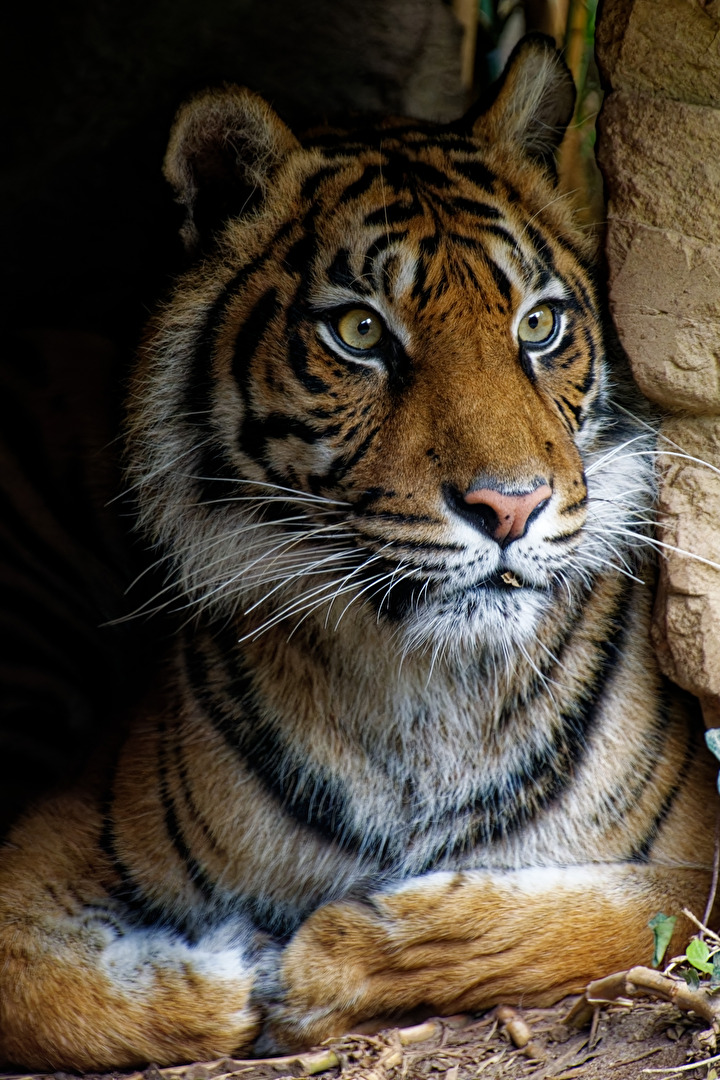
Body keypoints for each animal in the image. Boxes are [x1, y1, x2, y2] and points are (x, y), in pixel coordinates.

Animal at [0, 32, 717, 1072]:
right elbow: (37, 990)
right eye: (360, 331)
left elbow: (579, 919)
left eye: (538, 325)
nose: (512, 505)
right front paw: (226, 975)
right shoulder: (55, 830)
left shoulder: (691, 850)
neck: (422, 685)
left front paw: (313, 965)